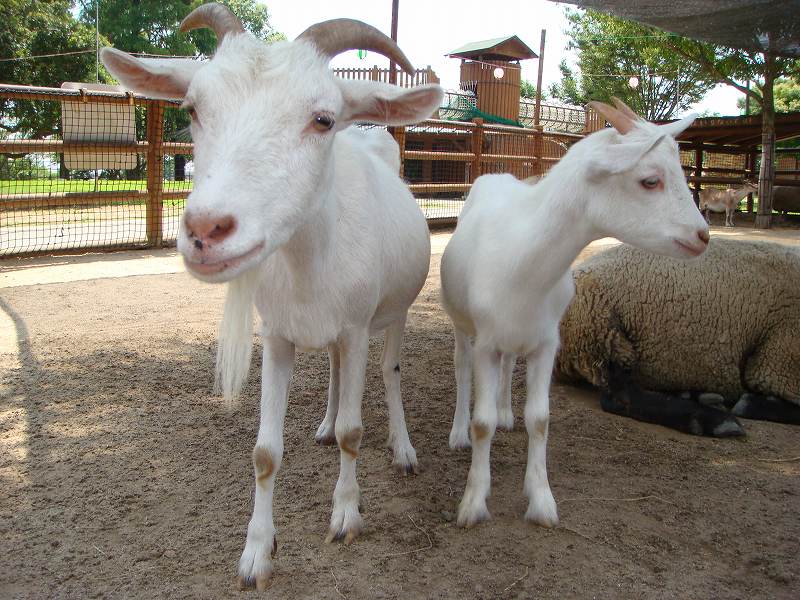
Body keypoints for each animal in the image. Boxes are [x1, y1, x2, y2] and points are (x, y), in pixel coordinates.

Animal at [101, 2, 444, 588]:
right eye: (192, 108)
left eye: (323, 118)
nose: (206, 229)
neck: (309, 264)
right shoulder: (278, 336)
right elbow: (264, 452)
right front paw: (256, 554)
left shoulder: (356, 328)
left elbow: (355, 430)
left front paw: (346, 516)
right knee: (333, 369)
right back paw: (324, 425)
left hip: (395, 310)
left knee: (390, 371)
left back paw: (402, 449)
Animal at [440, 99, 708, 528]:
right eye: (650, 180)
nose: (703, 236)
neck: (524, 261)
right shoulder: (486, 342)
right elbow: (482, 423)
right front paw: (473, 502)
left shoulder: (547, 341)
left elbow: (540, 419)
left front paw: (541, 501)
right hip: (461, 324)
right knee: (462, 368)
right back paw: (458, 433)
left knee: (509, 366)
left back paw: (505, 412)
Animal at [556, 238, 800, 432]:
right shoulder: (780, 359)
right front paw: (748, 404)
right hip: (600, 327)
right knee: (618, 395)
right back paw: (711, 420)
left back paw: (698, 397)